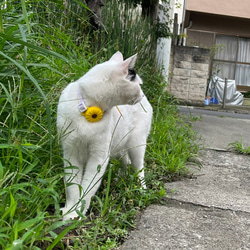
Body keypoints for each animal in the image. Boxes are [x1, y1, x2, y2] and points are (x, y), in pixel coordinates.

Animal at [57, 51, 152, 220]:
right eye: (139, 84)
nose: (142, 93)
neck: (90, 106)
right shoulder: (70, 154)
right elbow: (72, 186)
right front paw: (70, 211)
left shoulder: (98, 157)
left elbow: (88, 187)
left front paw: (79, 212)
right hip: (118, 147)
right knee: (125, 162)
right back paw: (119, 180)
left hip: (136, 145)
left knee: (139, 168)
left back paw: (142, 190)